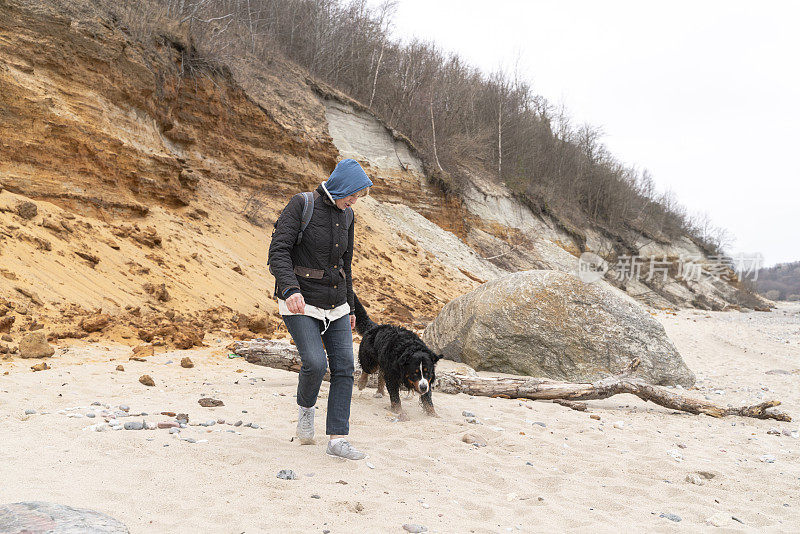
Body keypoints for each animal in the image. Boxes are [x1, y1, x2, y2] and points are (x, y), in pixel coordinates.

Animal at [354, 294, 440, 422]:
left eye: (427, 372)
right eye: (415, 373)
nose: (423, 387)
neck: (410, 349)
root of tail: (376, 326)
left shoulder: (427, 380)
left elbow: (427, 399)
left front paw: (433, 414)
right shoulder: (392, 376)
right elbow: (395, 397)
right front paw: (398, 411)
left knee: (381, 374)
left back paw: (379, 391)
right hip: (371, 361)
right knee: (367, 369)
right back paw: (362, 383)